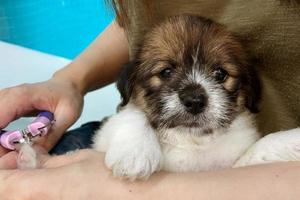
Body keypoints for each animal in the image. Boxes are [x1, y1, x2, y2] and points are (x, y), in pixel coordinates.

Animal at [92, 15, 298, 180]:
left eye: (220, 74)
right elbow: (132, 113)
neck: (193, 143)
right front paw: (135, 153)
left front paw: (291, 141)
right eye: (166, 72)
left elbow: (258, 148)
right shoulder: (103, 137)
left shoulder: (234, 162)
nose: (194, 102)